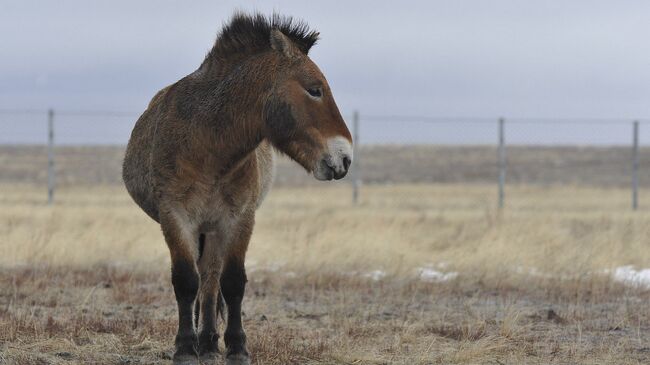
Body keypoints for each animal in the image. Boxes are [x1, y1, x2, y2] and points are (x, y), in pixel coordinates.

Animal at [123, 12, 352, 364]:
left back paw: (208, 341)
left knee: (210, 279)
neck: (209, 147)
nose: (345, 158)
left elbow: (231, 282)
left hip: (214, 230)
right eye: (314, 90)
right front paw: (184, 348)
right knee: (202, 279)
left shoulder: (239, 219)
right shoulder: (175, 217)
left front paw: (236, 347)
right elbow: (185, 280)